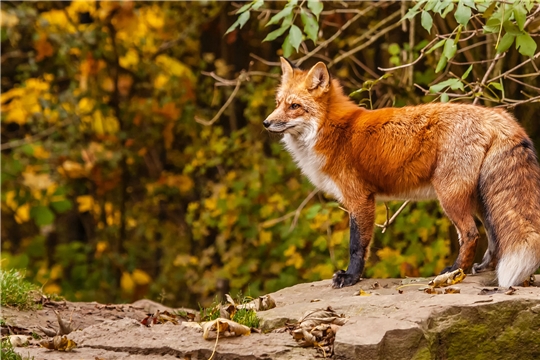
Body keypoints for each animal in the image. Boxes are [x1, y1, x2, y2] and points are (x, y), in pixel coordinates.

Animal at [264, 57, 540, 288]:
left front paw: (351, 277)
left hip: (451, 195)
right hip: (481, 199)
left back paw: (453, 272)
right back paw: (481, 268)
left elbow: (357, 245)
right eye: (278, 103)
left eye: (294, 106)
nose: (266, 123)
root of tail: (496, 114)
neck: (332, 130)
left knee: (471, 234)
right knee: (494, 238)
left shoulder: (360, 199)